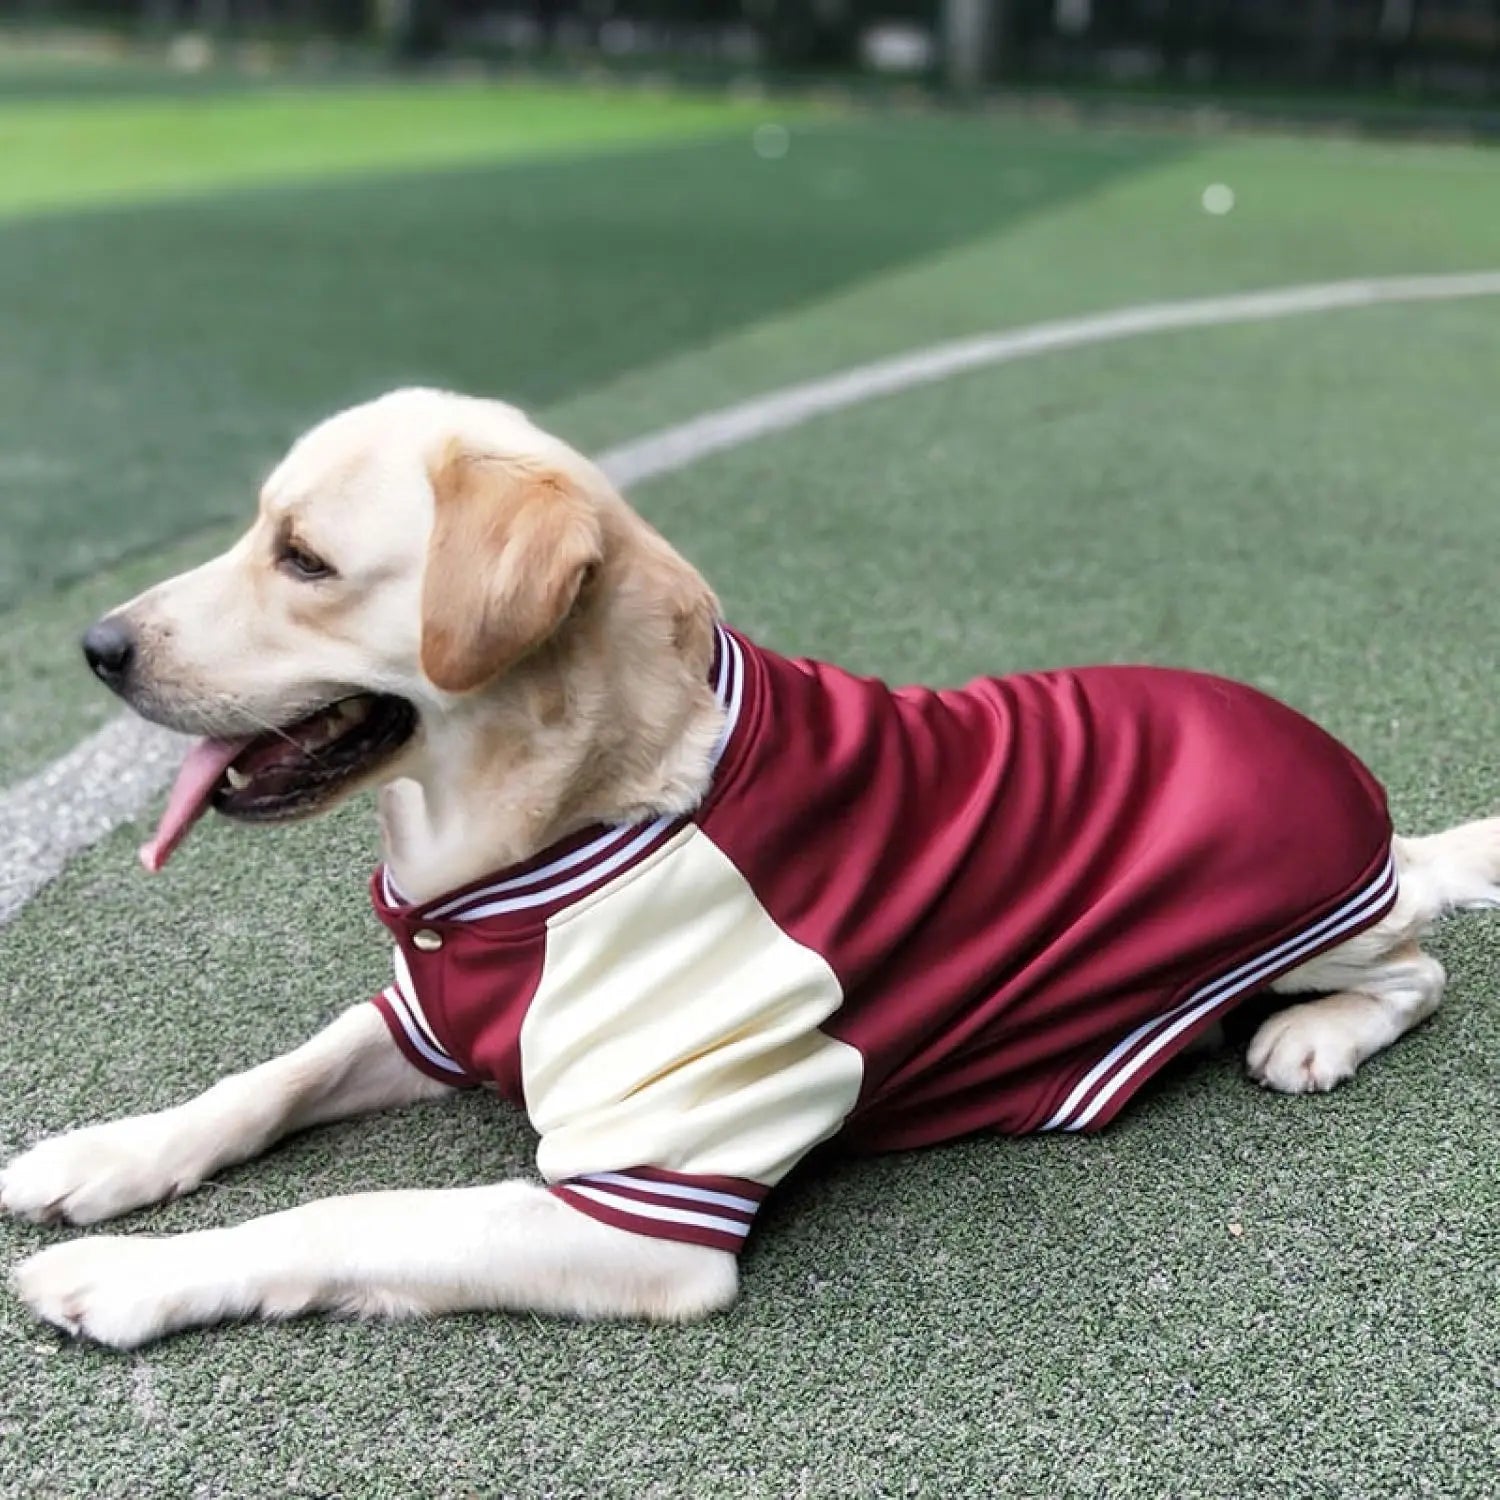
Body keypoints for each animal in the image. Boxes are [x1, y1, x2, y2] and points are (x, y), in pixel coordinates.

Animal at [5, 390, 1494, 1350]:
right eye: (256, 529)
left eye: (304, 559)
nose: (95, 647)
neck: (532, 847)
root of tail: (1337, 770)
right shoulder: (426, 1014)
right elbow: (264, 1083)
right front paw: (99, 1158)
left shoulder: (640, 1206)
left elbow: (340, 1219)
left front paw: (127, 1278)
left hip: (1321, 917)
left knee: (1418, 959)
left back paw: (1315, 1036)